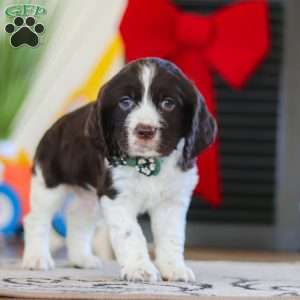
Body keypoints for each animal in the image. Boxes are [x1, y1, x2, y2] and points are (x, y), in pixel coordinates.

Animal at [22, 56, 217, 282]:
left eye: (168, 104)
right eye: (125, 102)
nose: (145, 130)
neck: (149, 164)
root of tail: (56, 125)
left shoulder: (172, 201)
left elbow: (172, 236)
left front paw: (174, 268)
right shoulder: (117, 196)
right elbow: (131, 234)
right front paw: (139, 269)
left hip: (91, 198)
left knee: (77, 216)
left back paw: (81, 259)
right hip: (49, 184)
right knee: (36, 219)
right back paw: (36, 258)